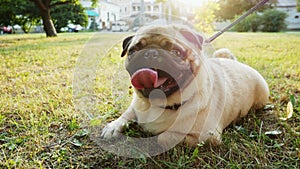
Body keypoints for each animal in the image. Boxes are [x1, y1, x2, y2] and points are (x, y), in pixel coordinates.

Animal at [101, 24, 270, 147]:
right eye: (133, 51)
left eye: (176, 52)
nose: (151, 53)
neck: (159, 104)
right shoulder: (136, 105)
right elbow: (126, 114)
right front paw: (113, 127)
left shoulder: (206, 136)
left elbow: (163, 137)